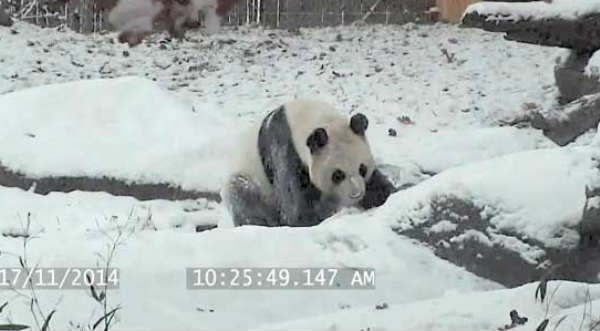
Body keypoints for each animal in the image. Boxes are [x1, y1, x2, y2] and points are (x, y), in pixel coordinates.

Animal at [223, 100, 396, 227]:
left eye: (362, 169)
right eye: (338, 174)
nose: (357, 194)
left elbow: (376, 182)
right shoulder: (284, 148)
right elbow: (293, 206)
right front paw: (315, 217)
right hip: (250, 181)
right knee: (243, 196)